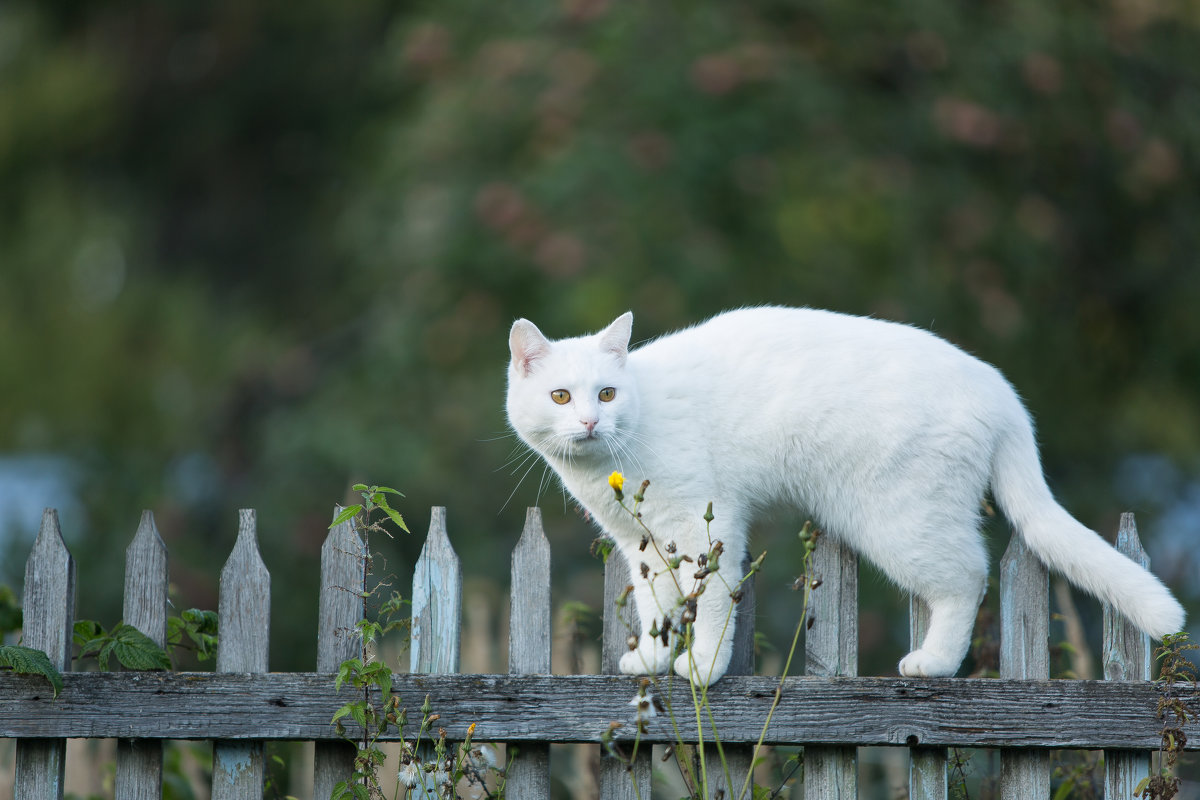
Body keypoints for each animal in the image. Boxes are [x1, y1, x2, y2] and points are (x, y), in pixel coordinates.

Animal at [504, 307, 1180, 681]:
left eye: (607, 393)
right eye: (561, 396)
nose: (590, 421)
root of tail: (998, 386)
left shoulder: (704, 528)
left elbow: (713, 602)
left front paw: (703, 670)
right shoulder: (642, 544)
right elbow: (658, 606)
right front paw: (651, 659)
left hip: (901, 521)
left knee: (968, 578)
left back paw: (932, 662)